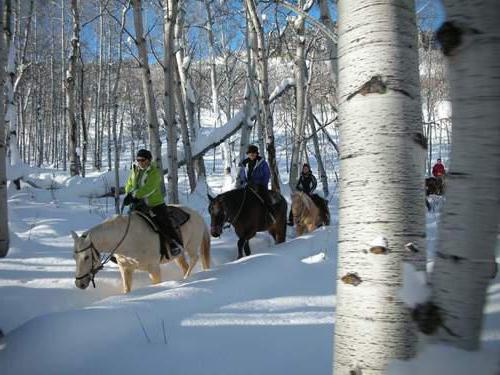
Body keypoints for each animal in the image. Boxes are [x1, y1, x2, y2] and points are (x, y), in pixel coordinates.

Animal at [71, 207, 211, 296]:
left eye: (86, 257)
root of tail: (197, 214)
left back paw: (186, 278)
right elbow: (126, 289)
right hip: (178, 255)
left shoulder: (154, 268)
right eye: (74, 257)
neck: (128, 239)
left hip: (191, 246)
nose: (79, 283)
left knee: (194, 259)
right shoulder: (125, 269)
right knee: (186, 265)